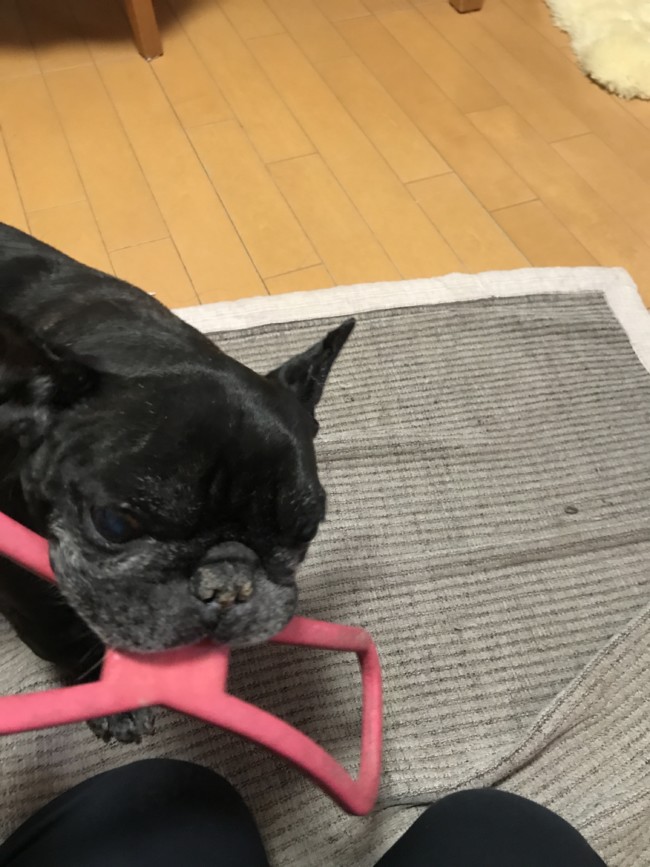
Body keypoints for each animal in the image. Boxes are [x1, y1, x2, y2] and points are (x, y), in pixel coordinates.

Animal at [0, 223, 353, 743]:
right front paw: (108, 697)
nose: (226, 582)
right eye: (114, 523)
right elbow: (59, 631)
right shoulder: (21, 581)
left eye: (304, 532)